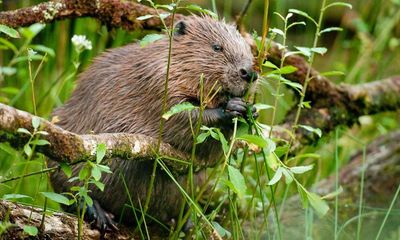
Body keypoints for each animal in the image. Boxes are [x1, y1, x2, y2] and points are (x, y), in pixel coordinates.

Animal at [48, 15, 258, 232]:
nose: (249, 73)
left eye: (249, 50)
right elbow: (181, 118)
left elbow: (211, 154)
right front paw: (231, 108)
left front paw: (251, 110)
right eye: (217, 47)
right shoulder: (158, 82)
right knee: (72, 190)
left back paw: (187, 223)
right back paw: (99, 214)